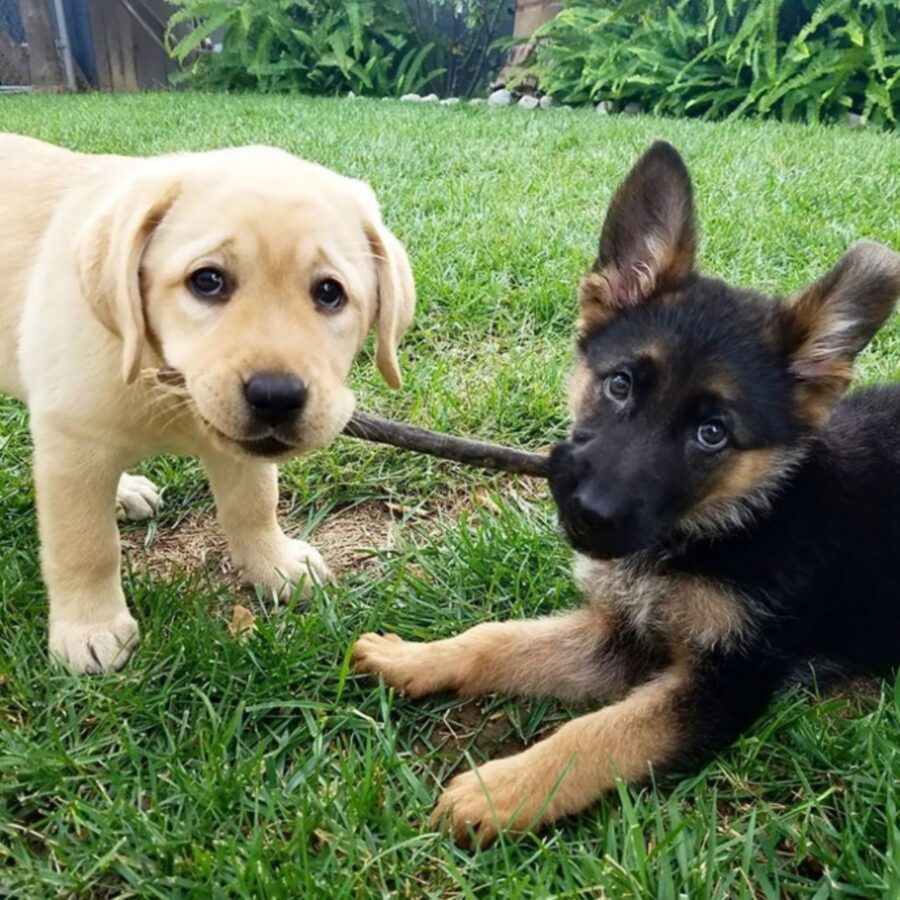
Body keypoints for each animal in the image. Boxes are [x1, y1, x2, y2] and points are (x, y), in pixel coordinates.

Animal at [0, 134, 414, 676]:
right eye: (208, 281)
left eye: (330, 292)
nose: (276, 397)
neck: (167, 377)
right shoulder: (71, 443)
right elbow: (85, 545)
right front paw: (90, 629)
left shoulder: (237, 447)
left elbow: (254, 503)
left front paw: (274, 563)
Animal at [350, 141, 900, 844]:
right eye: (620, 385)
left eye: (713, 433)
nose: (590, 515)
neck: (725, 524)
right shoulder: (618, 636)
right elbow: (498, 640)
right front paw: (415, 659)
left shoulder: (727, 683)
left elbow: (600, 733)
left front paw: (500, 791)